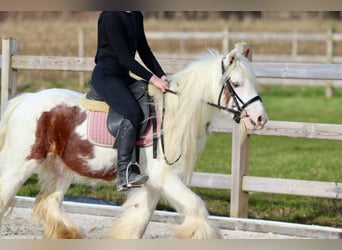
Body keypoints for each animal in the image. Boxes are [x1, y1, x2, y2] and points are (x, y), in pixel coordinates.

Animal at [0, 47, 268, 239]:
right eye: (236, 83)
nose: (260, 119)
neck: (172, 113)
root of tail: (25, 100)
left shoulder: (151, 183)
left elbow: (138, 222)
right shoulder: (164, 177)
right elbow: (197, 207)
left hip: (61, 169)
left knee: (50, 202)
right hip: (21, 164)